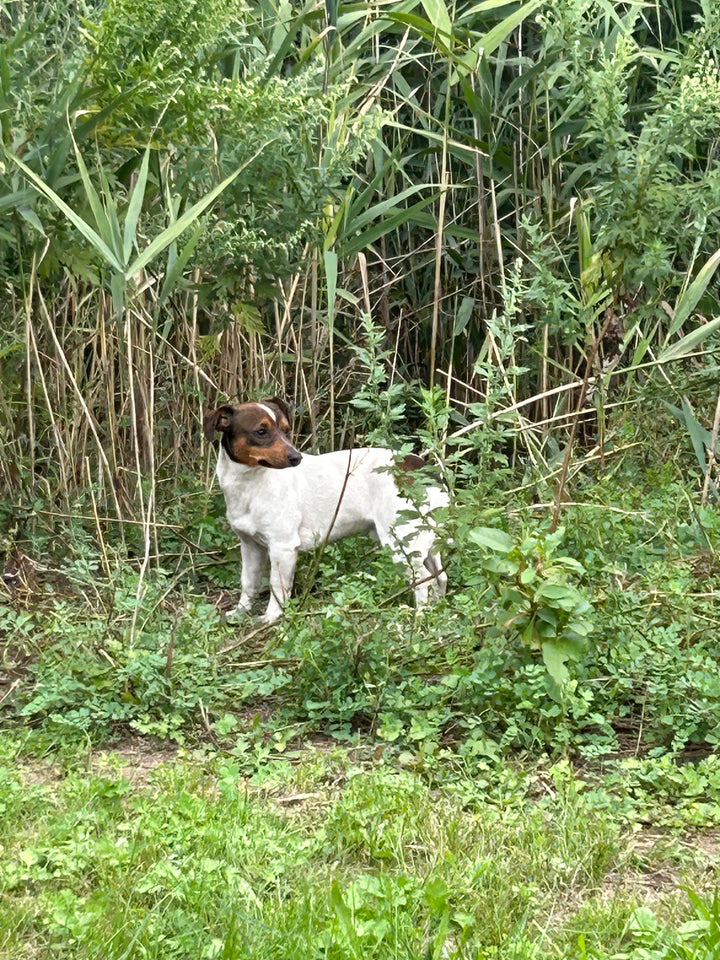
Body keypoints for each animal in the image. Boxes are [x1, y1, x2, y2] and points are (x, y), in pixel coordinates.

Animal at [202, 398, 448, 624]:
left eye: (286, 430)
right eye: (261, 431)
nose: (296, 457)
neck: (251, 483)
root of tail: (420, 467)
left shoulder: (283, 548)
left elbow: (278, 587)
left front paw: (272, 617)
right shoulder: (250, 546)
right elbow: (248, 582)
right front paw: (240, 612)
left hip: (401, 543)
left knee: (424, 578)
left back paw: (420, 616)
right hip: (424, 541)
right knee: (440, 575)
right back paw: (438, 609)